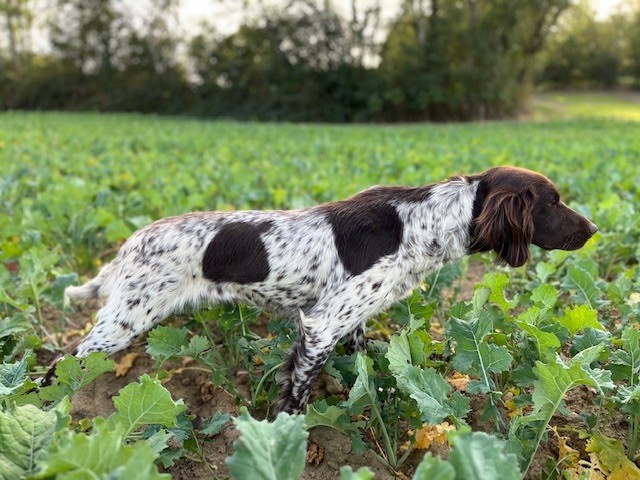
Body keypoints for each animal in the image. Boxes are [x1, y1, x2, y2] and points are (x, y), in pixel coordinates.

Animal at [52, 166, 597, 414]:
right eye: (552, 202)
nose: (593, 230)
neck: (424, 223)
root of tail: (129, 244)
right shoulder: (320, 323)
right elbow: (296, 394)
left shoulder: (348, 318)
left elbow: (366, 365)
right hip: (124, 321)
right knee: (60, 364)